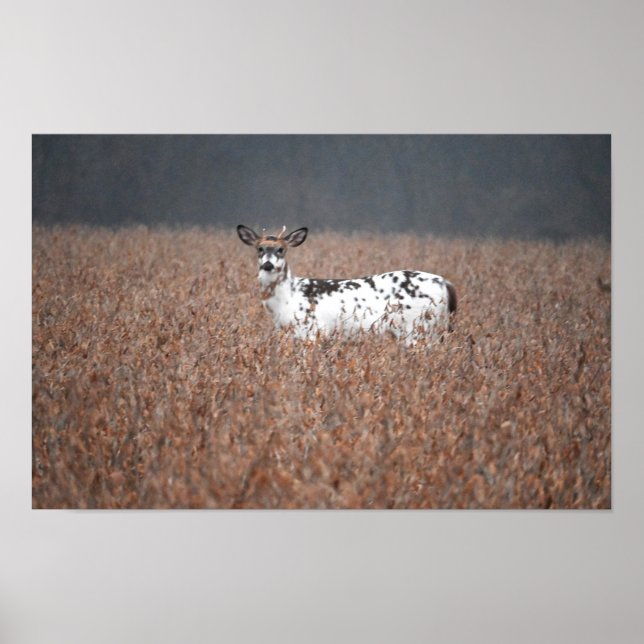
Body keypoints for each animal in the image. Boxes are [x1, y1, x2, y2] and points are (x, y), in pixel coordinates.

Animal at [236, 225, 457, 345]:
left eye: (281, 249)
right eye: (259, 248)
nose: (268, 264)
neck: (286, 300)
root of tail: (444, 282)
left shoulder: (311, 331)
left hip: (418, 327)